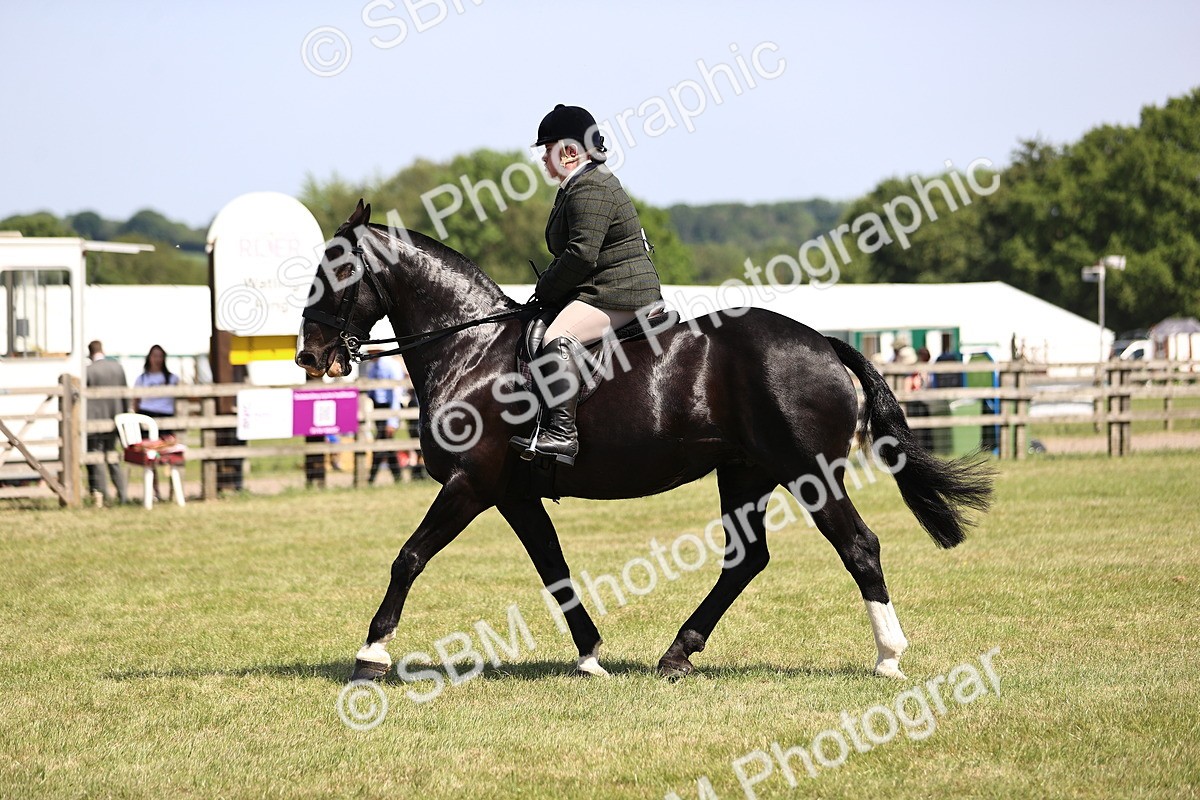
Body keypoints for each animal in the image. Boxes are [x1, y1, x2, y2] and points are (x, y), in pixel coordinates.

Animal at [296, 200, 993, 683]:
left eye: (337, 270)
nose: (309, 354)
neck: (471, 347)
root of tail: (824, 342)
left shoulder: (472, 484)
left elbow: (408, 557)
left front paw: (371, 653)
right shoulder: (514, 494)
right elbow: (555, 570)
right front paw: (591, 656)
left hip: (809, 472)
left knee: (859, 547)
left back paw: (888, 657)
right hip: (745, 473)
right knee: (747, 559)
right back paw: (677, 653)